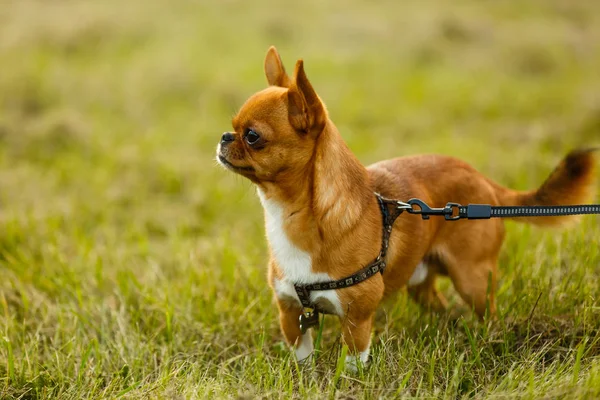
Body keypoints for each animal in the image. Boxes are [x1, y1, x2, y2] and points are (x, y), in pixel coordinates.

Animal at [217, 47, 596, 368]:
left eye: (253, 136)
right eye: (234, 126)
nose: (224, 137)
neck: (296, 214)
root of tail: (483, 182)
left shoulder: (357, 319)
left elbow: (353, 362)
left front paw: (349, 382)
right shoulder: (290, 313)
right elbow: (302, 357)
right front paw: (306, 378)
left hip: (472, 279)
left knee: (487, 312)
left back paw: (488, 339)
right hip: (422, 281)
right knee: (440, 307)